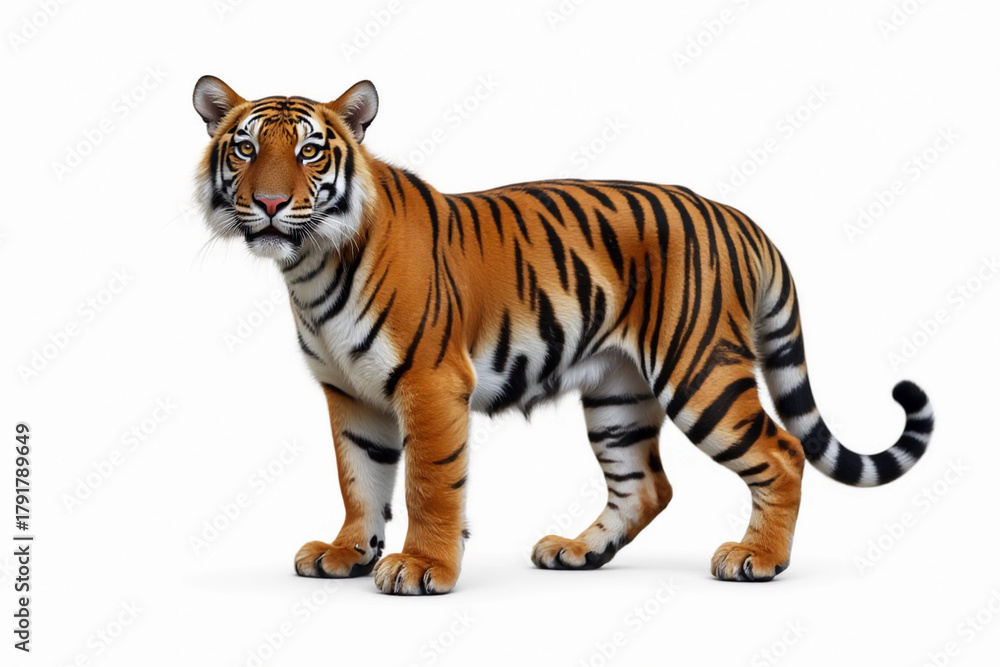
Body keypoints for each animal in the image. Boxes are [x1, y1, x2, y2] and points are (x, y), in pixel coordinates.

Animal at [192, 76, 934, 595]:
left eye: (310, 152)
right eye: (246, 147)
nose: (269, 203)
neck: (311, 266)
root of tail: (735, 214)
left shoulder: (430, 382)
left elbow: (430, 481)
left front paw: (422, 566)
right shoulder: (350, 393)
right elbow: (359, 478)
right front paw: (347, 553)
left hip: (699, 371)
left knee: (782, 452)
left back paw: (758, 558)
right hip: (618, 392)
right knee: (646, 485)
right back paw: (578, 552)